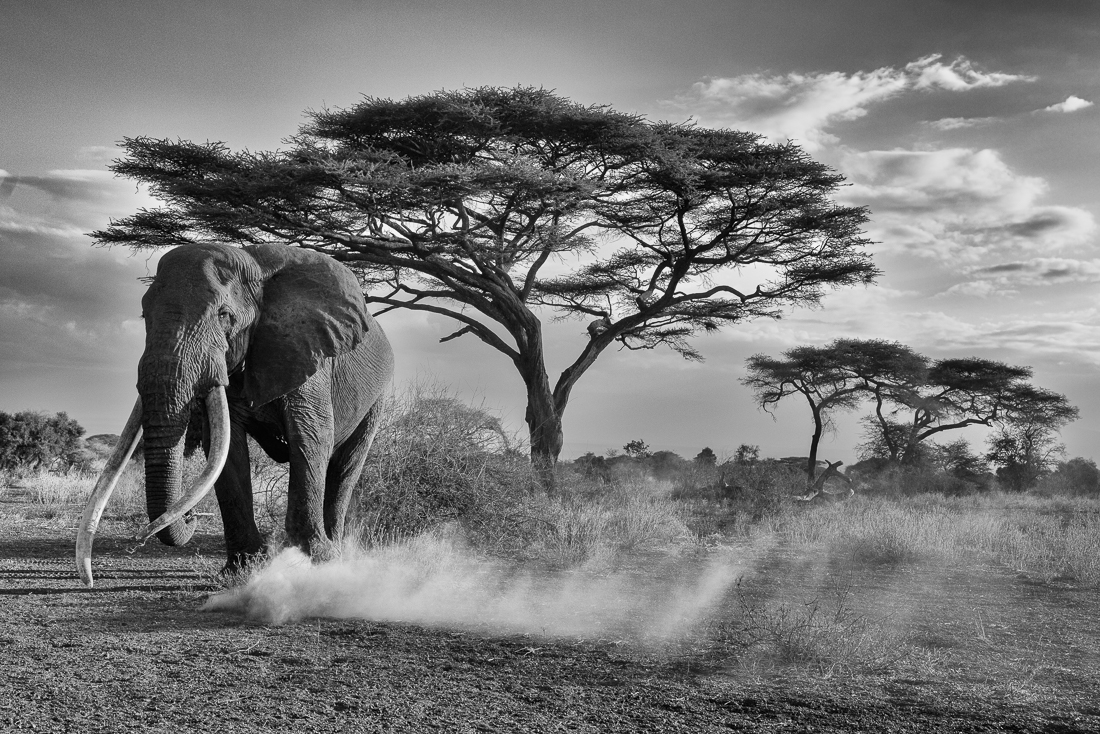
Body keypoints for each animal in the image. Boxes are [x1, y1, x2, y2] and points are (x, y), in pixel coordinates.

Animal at [76, 242, 394, 587]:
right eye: (144, 315)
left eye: (224, 315)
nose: (191, 516)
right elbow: (225, 449)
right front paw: (241, 571)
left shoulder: (308, 352)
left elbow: (310, 438)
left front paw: (311, 564)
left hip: (377, 396)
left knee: (346, 466)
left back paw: (337, 557)